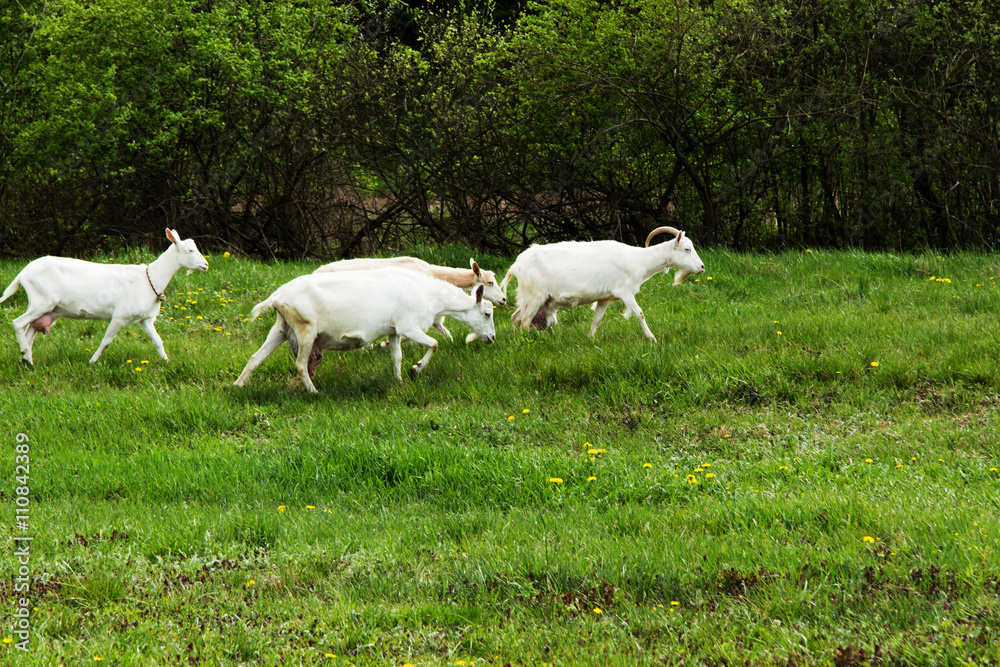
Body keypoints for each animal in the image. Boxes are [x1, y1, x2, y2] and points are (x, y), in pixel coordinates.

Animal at [1, 229, 209, 364]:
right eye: (190, 250)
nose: (206, 265)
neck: (151, 277)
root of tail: (23, 274)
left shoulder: (145, 319)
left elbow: (157, 341)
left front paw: (166, 361)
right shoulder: (120, 316)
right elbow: (106, 341)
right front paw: (92, 362)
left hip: (45, 307)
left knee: (30, 330)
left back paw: (27, 360)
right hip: (42, 301)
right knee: (18, 323)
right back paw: (25, 353)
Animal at [233, 267, 496, 393]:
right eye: (487, 313)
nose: (492, 338)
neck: (429, 295)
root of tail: (277, 297)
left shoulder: (394, 330)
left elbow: (397, 356)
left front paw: (400, 380)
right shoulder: (409, 326)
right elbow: (434, 344)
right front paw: (416, 370)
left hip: (280, 328)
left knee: (256, 358)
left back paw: (237, 386)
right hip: (305, 329)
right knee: (300, 365)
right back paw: (313, 391)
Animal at [499, 227, 704, 341]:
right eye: (687, 249)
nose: (702, 267)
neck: (638, 259)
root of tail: (516, 265)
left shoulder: (605, 298)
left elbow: (597, 319)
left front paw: (590, 339)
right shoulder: (625, 292)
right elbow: (640, 314)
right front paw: (652, 338)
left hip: (539, 299)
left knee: (516, 318)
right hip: (534, 296)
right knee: (524, 320)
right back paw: (528, 343)